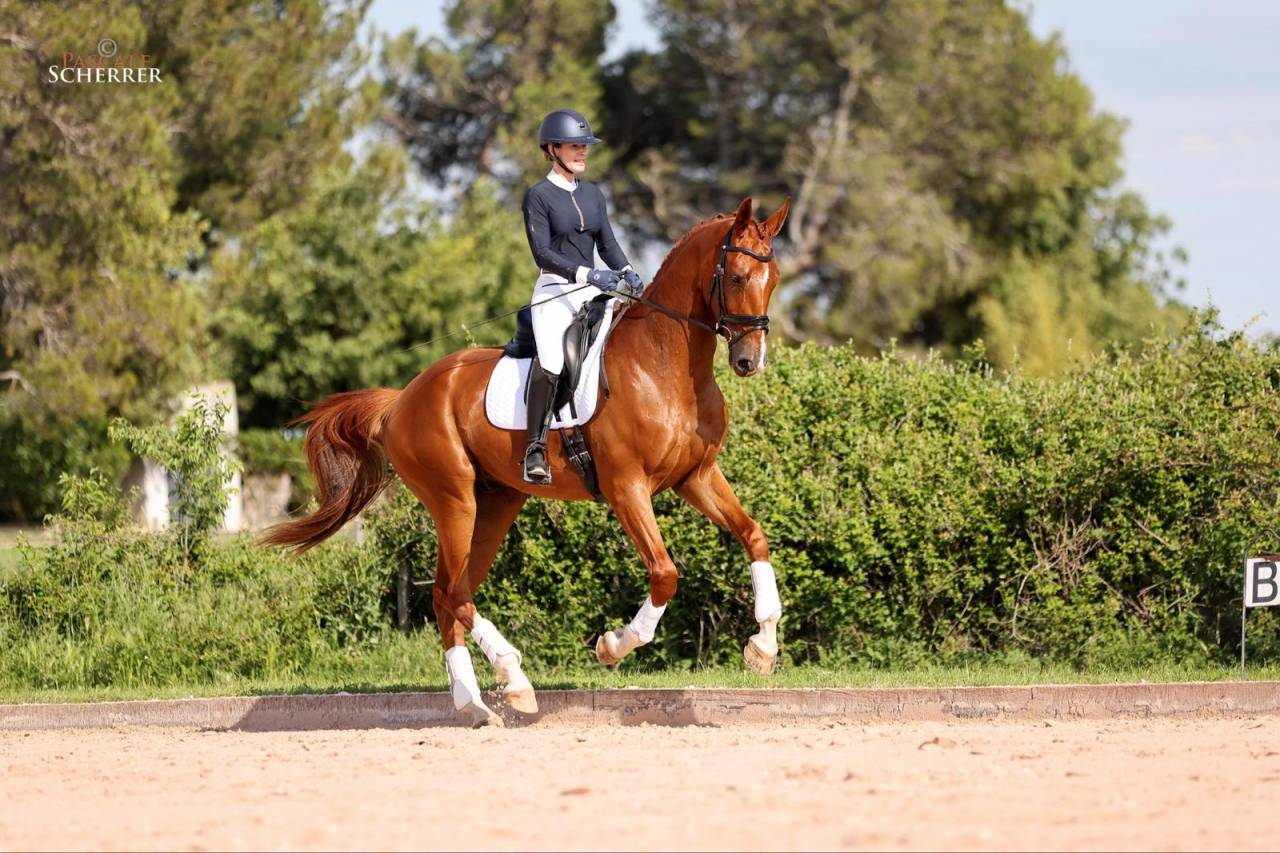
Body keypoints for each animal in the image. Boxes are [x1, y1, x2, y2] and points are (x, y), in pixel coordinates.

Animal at [262, 196, 791, 726]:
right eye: (738, 277)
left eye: (775, 279)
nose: (750, 361)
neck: (665, 364)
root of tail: (402, 399)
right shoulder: (626, 488)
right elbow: (665, 574)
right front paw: (612, 645)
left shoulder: (695, 477)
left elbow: (754, 536)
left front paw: (762, 648)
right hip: (454, 500)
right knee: (452, 593)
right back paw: (513, 677)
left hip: (495, 504)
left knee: (449, 594)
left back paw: (476, 704)